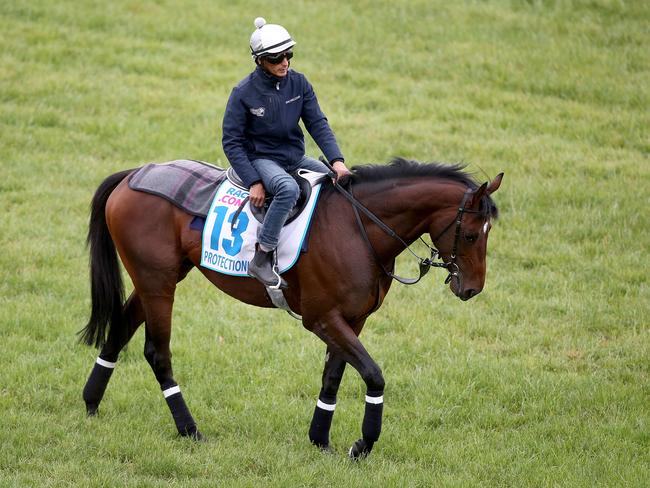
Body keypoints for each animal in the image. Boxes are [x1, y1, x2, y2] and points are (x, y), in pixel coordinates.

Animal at [77, 158, 502, 460]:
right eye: (469, 235)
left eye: (487, 233)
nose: (472, 288)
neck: (357, 228)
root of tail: (135, 173)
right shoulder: (322, 319)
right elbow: (373, 375)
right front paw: (363, 444)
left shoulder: (353, 320)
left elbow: (333, 377)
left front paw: (320, 440)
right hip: (158, 284)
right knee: (157, 352)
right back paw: (189, 429)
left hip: (155, 281)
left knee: (120, 328)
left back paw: (91, 403)